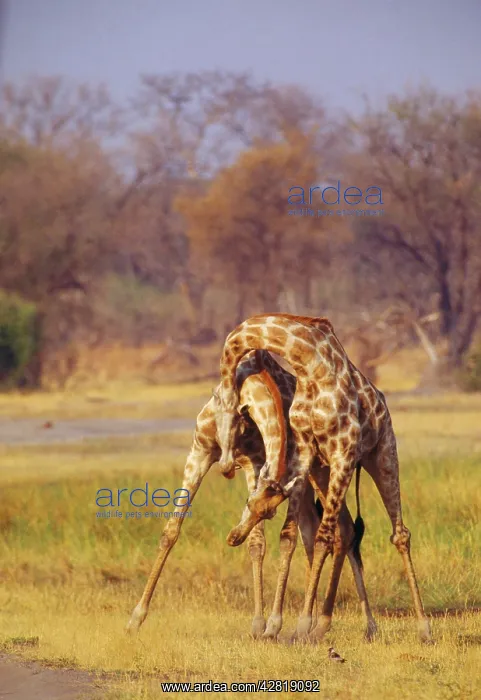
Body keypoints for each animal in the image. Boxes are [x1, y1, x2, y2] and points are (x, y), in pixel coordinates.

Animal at [127, 349, 377, 643]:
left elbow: (257, 543)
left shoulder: (254, 463)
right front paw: (135, 619)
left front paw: (259, 624)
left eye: (269, 513)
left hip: (322, 475)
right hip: (307, 485)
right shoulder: (200, 451)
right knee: (317, 533)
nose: (232, 538)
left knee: (343, 529)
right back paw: (316, 623)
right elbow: (171, 532)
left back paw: (365, 625)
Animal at [215, 313, 433, 644]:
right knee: (346, 530)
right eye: (249, 503)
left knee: (399, 534)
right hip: (323, 470)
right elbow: (298, 534)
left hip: (382, 456)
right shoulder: (306, 449)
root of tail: (383, 403)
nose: (233, 538)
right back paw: (333, 625)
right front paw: (299, 626)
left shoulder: (343, 452)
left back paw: (423, 629)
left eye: (237, 420)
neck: (310, 363)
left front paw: (302, 624)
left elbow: (320, 539)